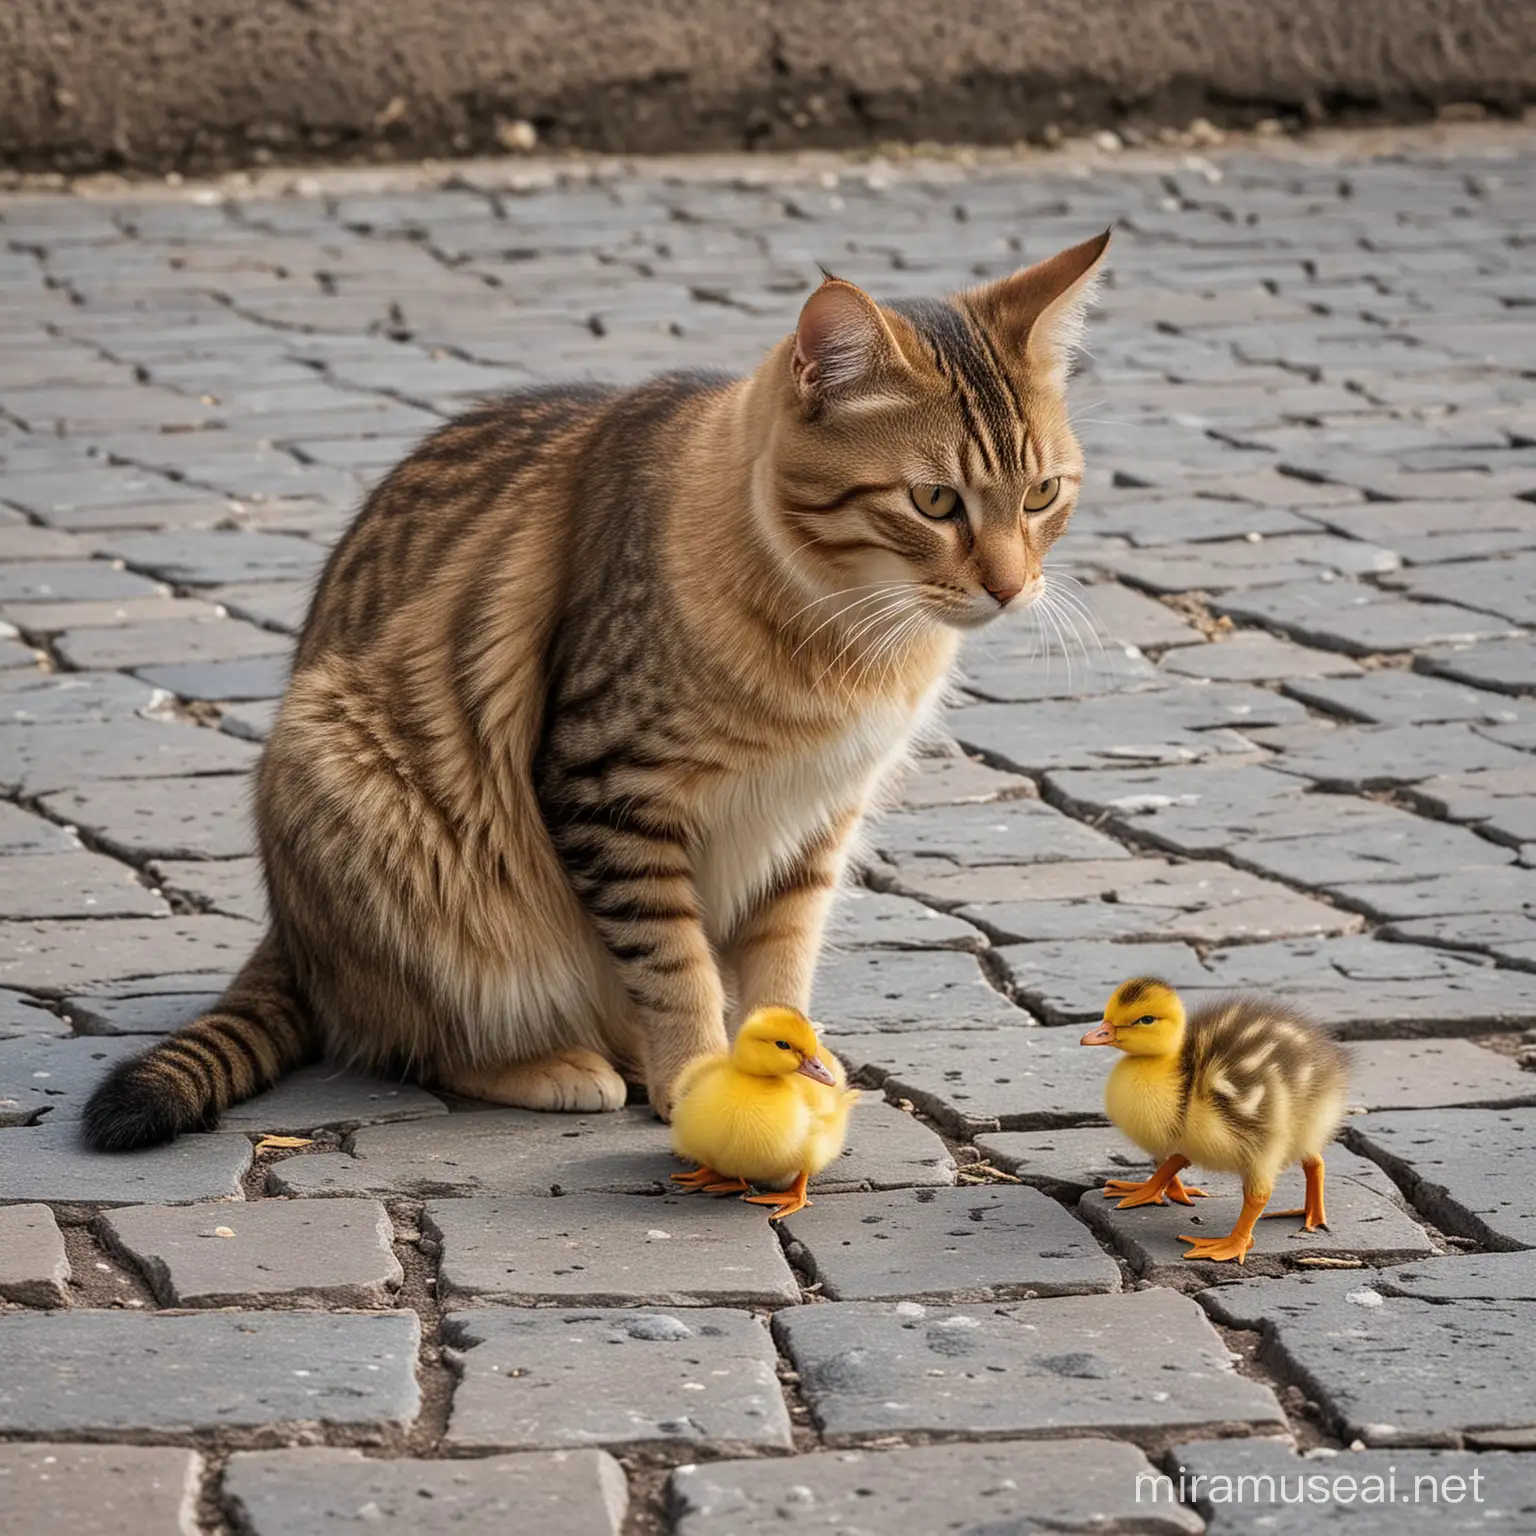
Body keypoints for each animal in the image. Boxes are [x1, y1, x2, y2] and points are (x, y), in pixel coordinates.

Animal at [81, 224, 1105, 1142]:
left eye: (1042, 495)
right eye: (934, 502)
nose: (1012, 586)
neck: (847, 637)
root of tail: (289, 938)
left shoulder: (816, 819)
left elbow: (780, 964)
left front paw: (788, 1059)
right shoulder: (610, 787)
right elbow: (675, 965)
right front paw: (696, 1071)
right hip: (363, 786)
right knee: (405, 1037)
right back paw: (567, 1067)